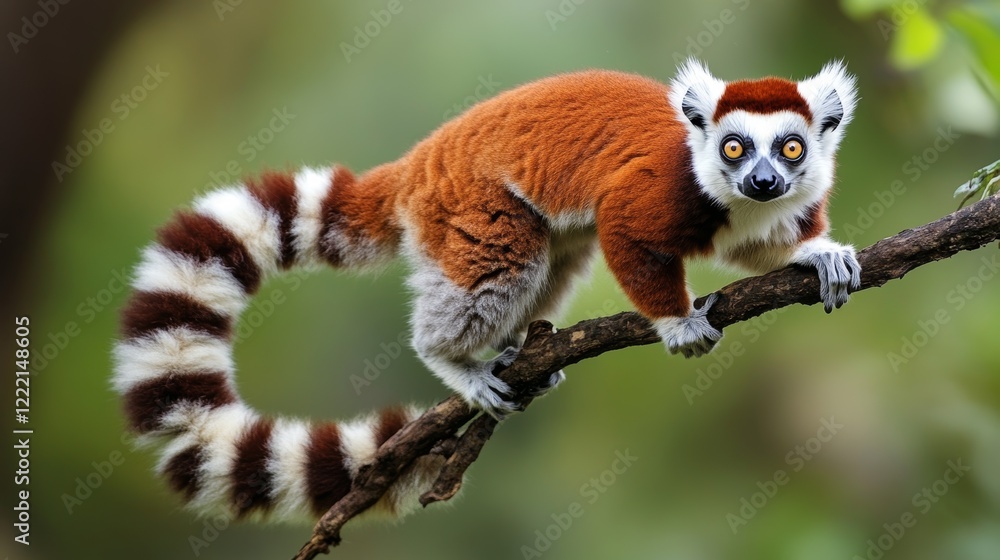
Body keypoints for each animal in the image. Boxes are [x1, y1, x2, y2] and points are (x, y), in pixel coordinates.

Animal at [112, 59, 860, 523]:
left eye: (789, 149)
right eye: (736, 148)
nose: (762, 181)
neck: (730, 196)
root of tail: (420, 159)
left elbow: (755, 245)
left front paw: (817, 251)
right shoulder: (666, 189)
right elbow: (626, 230)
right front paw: (676, 323)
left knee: (555, 260)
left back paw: (520, 354)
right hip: (470, 204)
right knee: (507, 264)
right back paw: (454, 359)